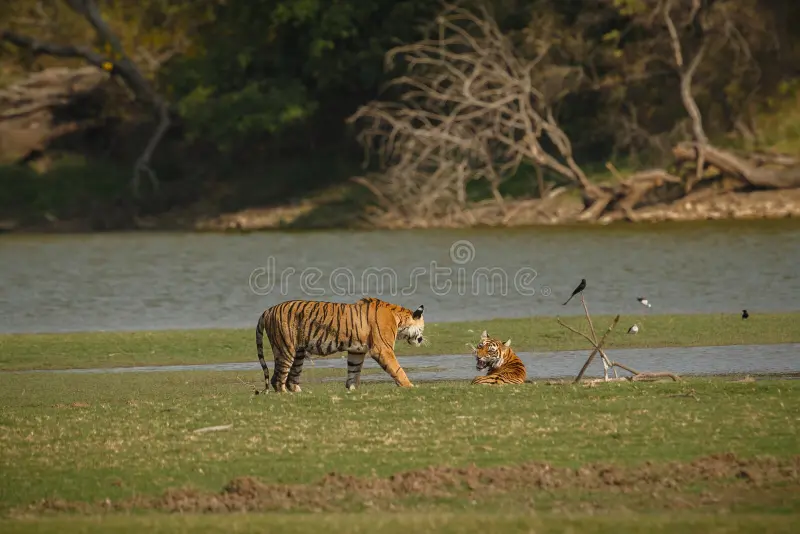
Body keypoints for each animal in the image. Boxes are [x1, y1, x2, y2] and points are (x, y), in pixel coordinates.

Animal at [255, 297, 425, 393]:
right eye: (422, 328)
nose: (421, 339)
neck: (398, 319)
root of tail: (268, 310)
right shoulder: (383, 349)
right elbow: (397, 368)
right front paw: (409, 385)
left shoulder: (357, 351)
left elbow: (354, 371)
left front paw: (352, 389)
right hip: (286, 348)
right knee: (277, 379)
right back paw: (285, 395)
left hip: (298, 353)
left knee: (291, 378)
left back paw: (299, 393)